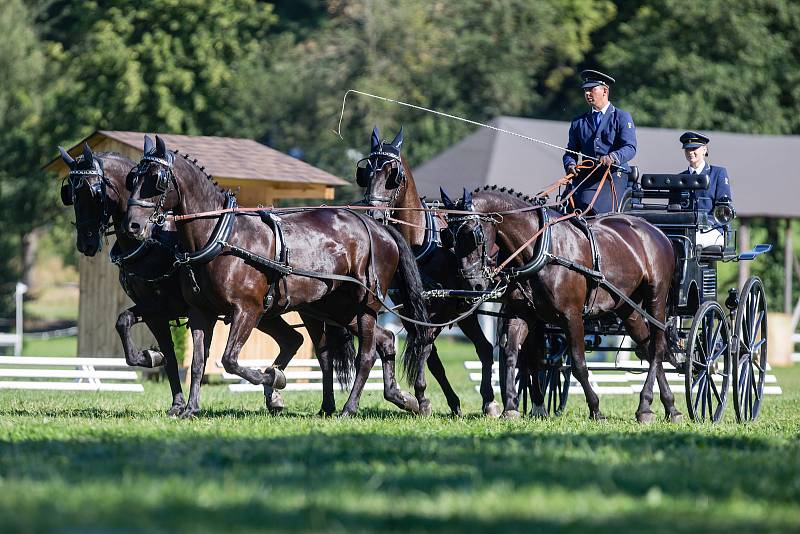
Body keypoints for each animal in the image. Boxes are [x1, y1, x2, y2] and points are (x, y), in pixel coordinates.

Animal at [124, 135, 432, 418]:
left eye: (156, 179)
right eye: (133, 178)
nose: (133, 225)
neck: (221, 236)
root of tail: (379, 227)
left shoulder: (247, 310)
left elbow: (230, 360)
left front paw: (275, 378)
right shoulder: (201, 312)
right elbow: (199, 362)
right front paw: (190, 409)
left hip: (365, 305)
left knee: (366, 355)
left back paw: (350, 407)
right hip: (335, 309)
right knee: (382, 341)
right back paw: (400, 399)